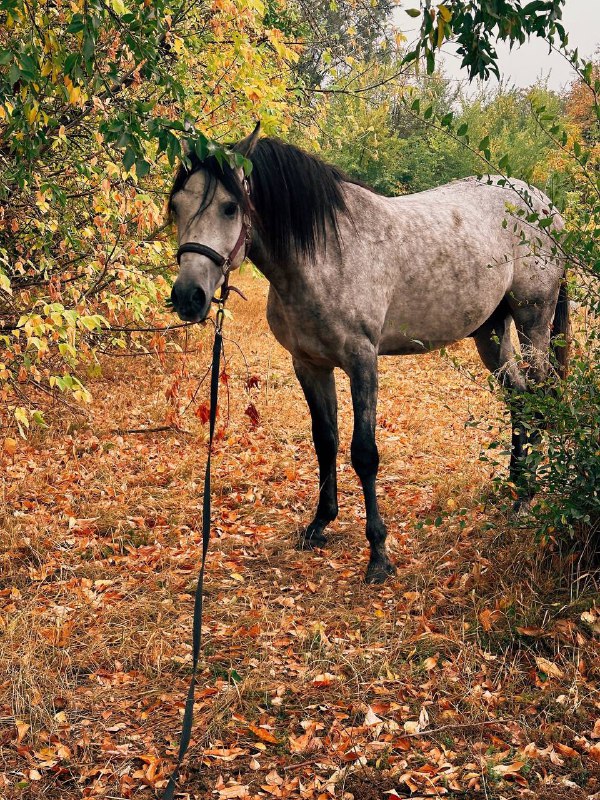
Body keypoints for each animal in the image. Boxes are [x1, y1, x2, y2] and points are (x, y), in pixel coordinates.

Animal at [168, 126, 568, 588]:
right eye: (176, 207)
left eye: (230, 207)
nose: (188, 297)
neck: (324, 254)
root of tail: (545, 206)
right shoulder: (309, 365)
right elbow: (325, 441)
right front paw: (319, 524)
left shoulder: (363, 362)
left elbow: (364, 453)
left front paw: (378, 553)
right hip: (490, 331)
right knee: (520, 398)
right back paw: (516, 486)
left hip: (533, 319)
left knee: (539, 397)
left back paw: (527, 495)